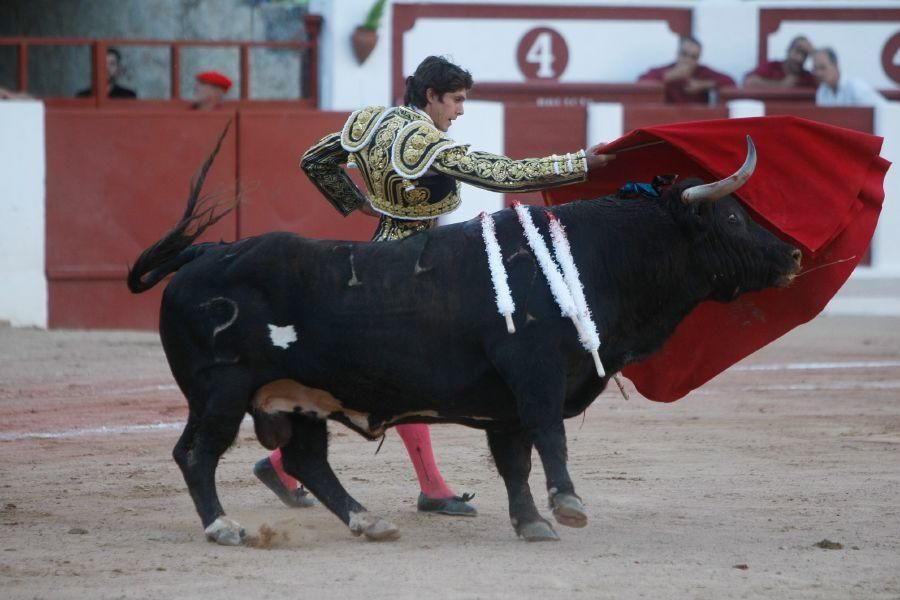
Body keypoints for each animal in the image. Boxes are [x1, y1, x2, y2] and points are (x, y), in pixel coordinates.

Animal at [128, 135, 800, 544]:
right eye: (733, 215)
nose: (793, 254)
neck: (594, 258)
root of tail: (203, 254)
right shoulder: (535, 375)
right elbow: (549, 440)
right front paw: (567, 507)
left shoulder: (504, 403)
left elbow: (513, 462)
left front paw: (531, 523)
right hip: (219, 392)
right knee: (196, 454)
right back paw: (223, 527)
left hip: (299, 398)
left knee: (306, 460)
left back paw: (368, 522)